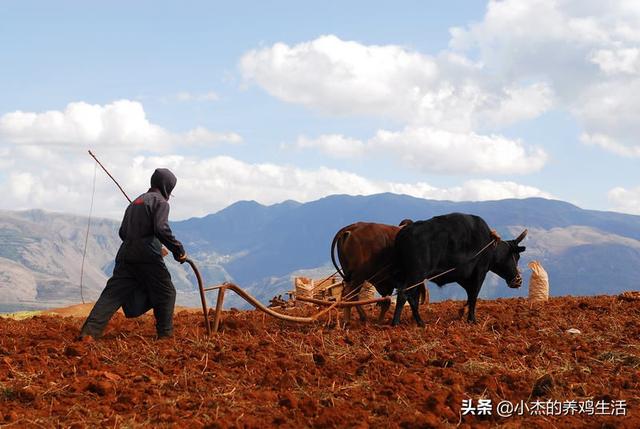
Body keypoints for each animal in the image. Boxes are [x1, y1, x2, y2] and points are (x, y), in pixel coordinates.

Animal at [393, 213, 527, 326]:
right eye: (516, 256)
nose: (518, 280)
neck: (490, 244)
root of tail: (404, 232)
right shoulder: (480, 272)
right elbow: (474, 295)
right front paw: (472, 319)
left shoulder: (462, 276)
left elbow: (469, 294)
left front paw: (463, 311)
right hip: (416, 275)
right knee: (404, 294)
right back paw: (396, 323)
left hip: (408, 276)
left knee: (410, 296)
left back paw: (419, 322)